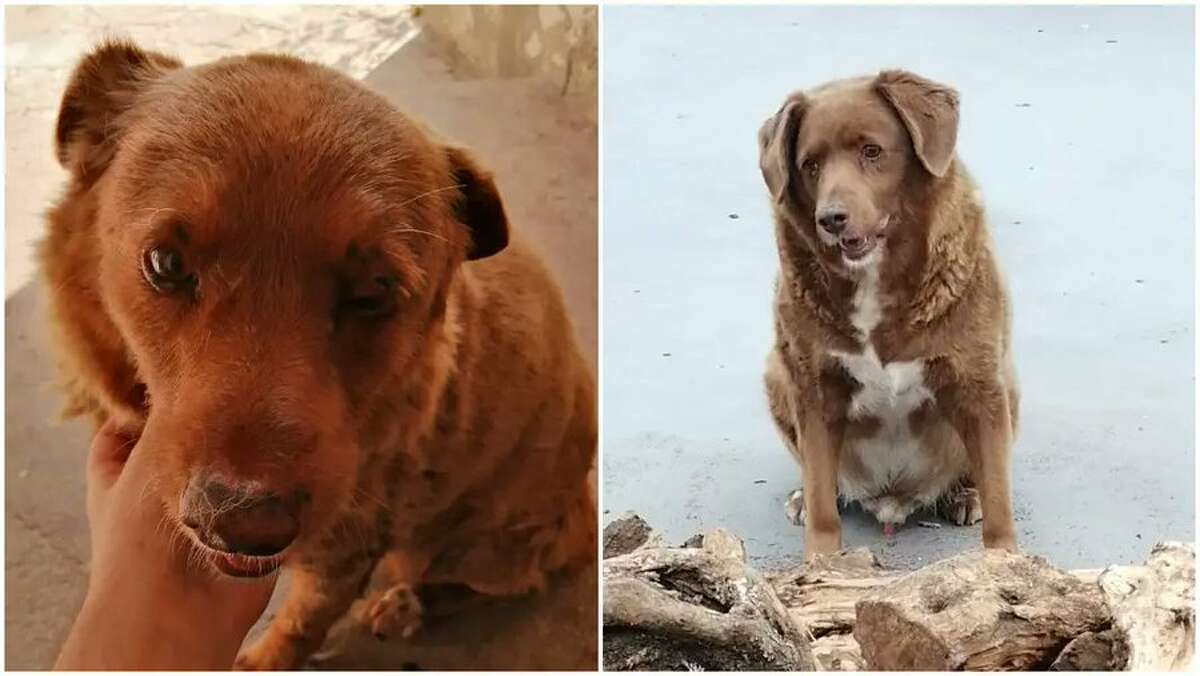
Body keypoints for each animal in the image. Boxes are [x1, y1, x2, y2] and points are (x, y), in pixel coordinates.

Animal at [42, 42, 595, 672]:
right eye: (166, 263)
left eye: (376, 290)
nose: (239, 525)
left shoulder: (346, 550)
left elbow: (302, 623)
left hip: (469, 546)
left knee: (496, 582)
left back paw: (407, 605)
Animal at [758, 70, 1012, 561]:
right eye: (810, 165)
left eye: (871, 151)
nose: (830, 218)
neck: (874, 279)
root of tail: (892, 496)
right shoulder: (814, 388)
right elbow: (822, 500)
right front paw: (820, 561)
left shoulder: (978, 382)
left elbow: (998, 498)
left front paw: (1007, 561)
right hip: (776, 374)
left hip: (1007, 384)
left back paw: (963, 494)